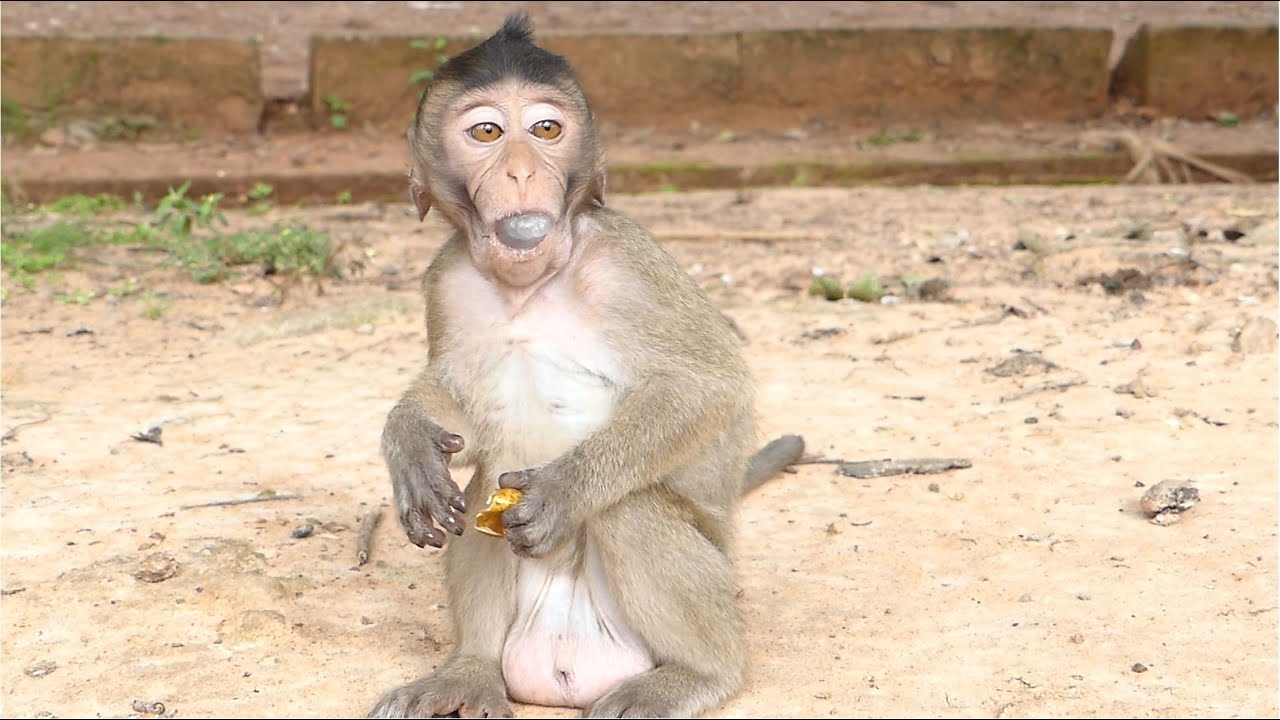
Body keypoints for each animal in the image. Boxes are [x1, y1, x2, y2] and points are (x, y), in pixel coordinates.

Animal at [369, 13, 805, 719]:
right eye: (487, 132)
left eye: (547, 129)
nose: (522, 172)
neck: (530, 287)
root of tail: (566, 670)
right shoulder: (445, 279)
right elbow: (459, 411)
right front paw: (409, 443)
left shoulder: (628, 266)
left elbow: (712, 388)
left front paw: (565, 491)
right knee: (481, 491)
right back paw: (470, 669)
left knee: (628, 508)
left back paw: (698, 674)